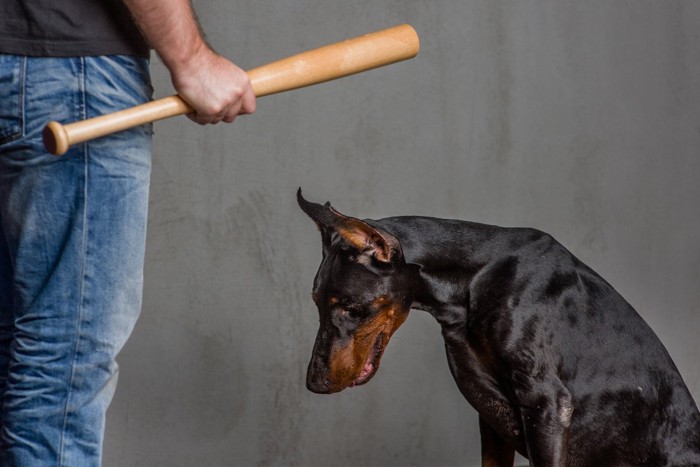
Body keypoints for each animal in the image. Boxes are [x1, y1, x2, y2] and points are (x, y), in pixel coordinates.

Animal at [298, 190, 700, 467]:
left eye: (351, 307)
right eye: (316, 302)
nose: (314, 384)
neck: (472, 282)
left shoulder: (547, 405)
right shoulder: (491, 419)